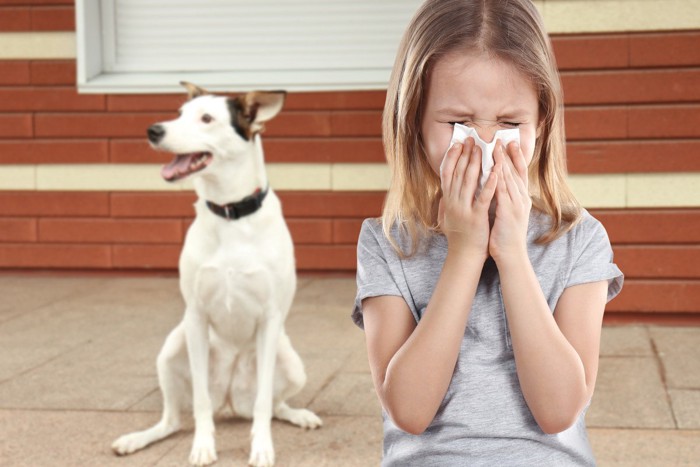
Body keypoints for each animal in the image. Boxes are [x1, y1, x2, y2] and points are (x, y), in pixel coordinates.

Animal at [112, 82, 322, 466]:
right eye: (179, 114)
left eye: (207, 119)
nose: (154, 130)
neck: (230, 213)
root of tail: (230, 401)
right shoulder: (195, 316)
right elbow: (200, 404)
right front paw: (203, 445)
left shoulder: (269, 319)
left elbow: (263, 402)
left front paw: (262, 447)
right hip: (171, 349)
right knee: (173, 419)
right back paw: (137, 439)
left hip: (291, 362)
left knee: (274, 406)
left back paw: (299, 415)